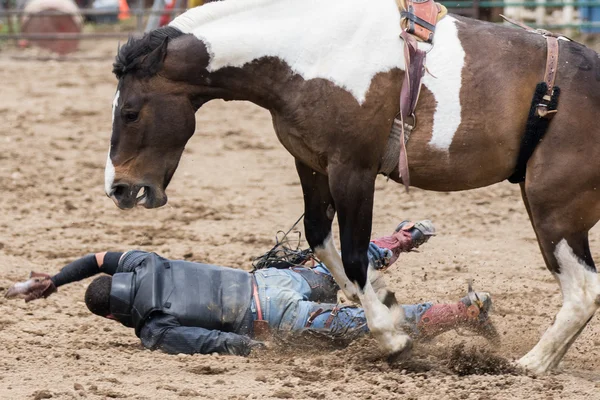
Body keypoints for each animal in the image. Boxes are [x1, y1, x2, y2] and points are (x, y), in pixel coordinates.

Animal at [103, 0, 600, 376]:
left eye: (130, 111)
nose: (120, 189)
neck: (307, 52)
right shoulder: (311, 163)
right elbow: (323, 242)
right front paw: (387, 302)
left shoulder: (353, 170)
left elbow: (355, 254)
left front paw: (393, 338)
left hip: (553, 210)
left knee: (583, 291)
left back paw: (530, 365)